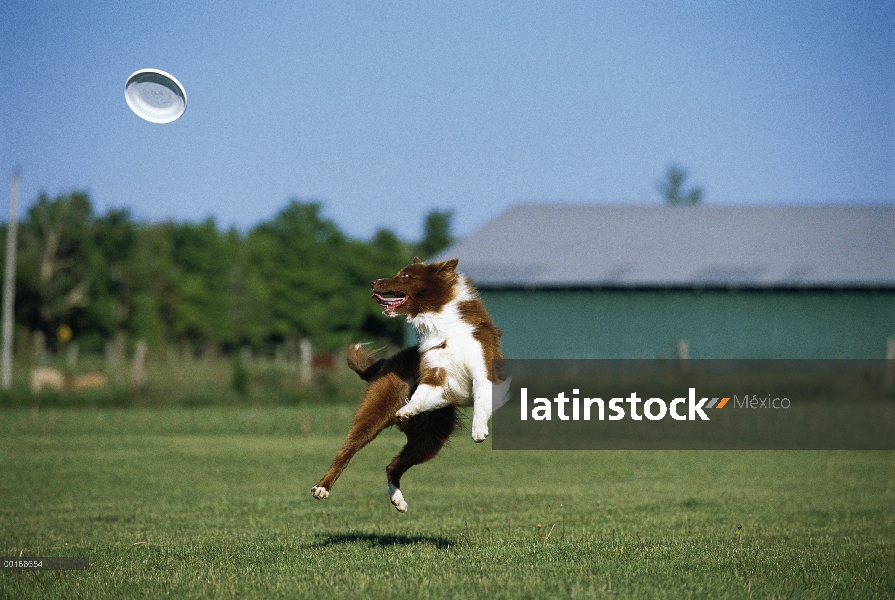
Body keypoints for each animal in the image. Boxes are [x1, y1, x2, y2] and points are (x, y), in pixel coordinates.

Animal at [312, 256, 500, 510]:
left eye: (406, 276)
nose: (373, 282)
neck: (441, 324)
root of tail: (383, 363)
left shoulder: (483, 369)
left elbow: (480, 398)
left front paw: (479, 430)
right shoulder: (434, 373)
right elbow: (421, 392)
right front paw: (407, 408)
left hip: (430, 437)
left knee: (392, 465)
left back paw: (397, 499)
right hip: (375, 413)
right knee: (347, 451)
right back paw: (322, 488)